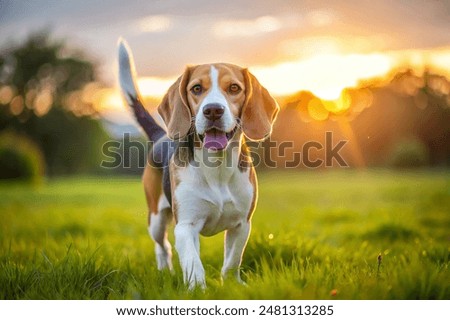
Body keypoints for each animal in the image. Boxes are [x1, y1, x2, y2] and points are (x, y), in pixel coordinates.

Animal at [117, 38, 278, 288]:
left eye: (234, 88)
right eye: (196, 89)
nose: (213, 110)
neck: (216, 167)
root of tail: (161, 135)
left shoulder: (242, 224)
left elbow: (233, 260)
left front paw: (232, 284)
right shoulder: (185, 226)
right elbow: (193, 263)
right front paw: (198, 290)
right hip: (156, 220)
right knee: (162, 247)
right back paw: (164, 272)